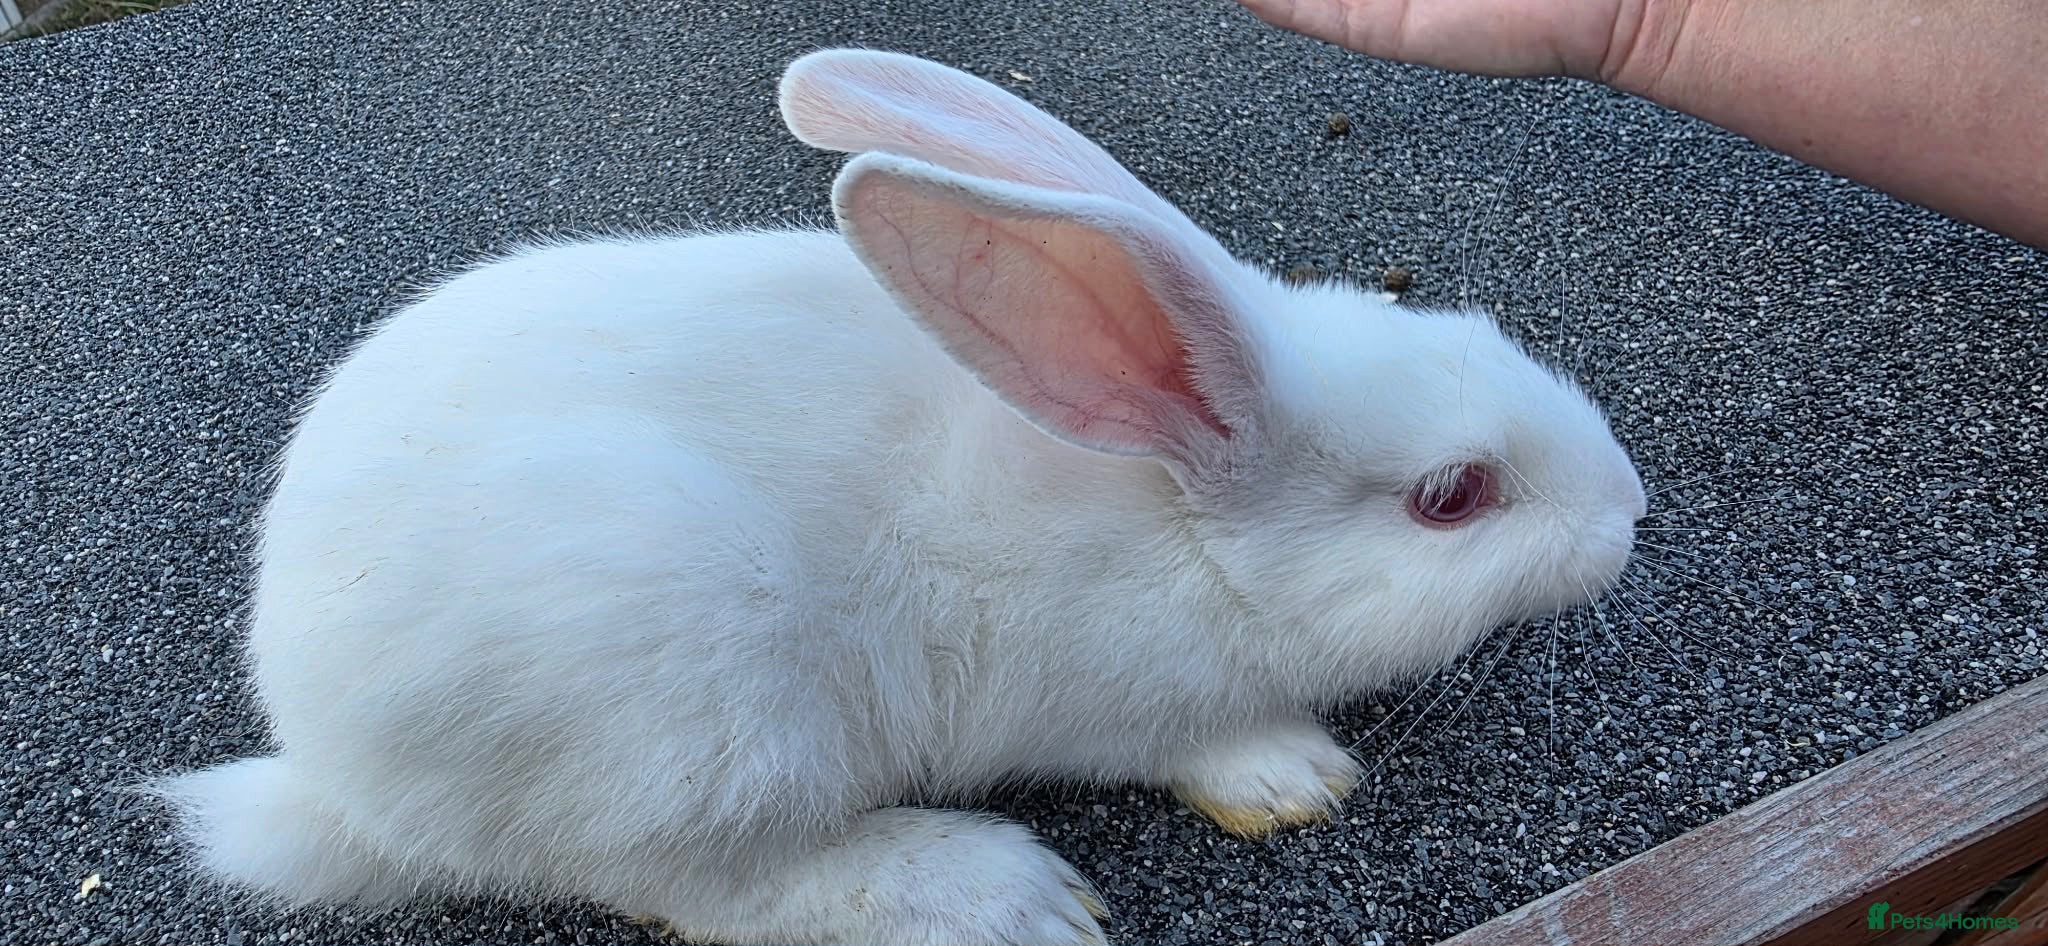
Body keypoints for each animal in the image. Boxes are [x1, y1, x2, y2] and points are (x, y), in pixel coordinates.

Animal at [146, 48, 1647, 946]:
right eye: (1451, 496)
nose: (1627, 512)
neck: (1179, 517)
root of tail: (331, 772)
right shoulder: (1113, 700)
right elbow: (1194, 742)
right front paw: (1294, 776)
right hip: (697, 702)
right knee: (705, 888)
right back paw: (1006, 893)